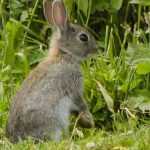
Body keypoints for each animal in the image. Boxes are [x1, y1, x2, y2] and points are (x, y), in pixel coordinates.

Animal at [5, 0, 96, 143]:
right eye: (83, 37)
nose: (96, 49)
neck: (64, 55)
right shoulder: (73, 86)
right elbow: (81, 103)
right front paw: (89, 119)